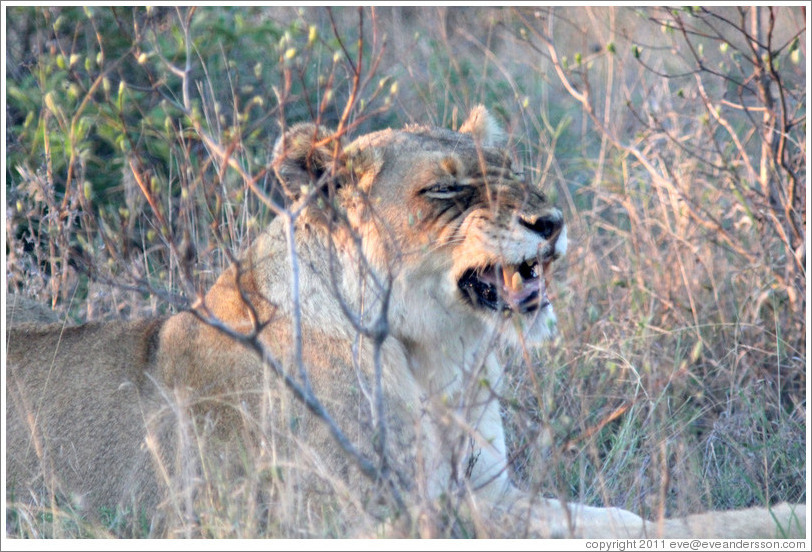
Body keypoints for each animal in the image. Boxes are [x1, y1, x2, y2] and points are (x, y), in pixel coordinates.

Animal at [6, 108, 804, 540]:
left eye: (514, 170)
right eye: (448, 188)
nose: (551, 222)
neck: (436, 354)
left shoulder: (489, 493)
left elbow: (623, 519)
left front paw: (778, 514)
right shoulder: (370, 515)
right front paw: (780, 518)